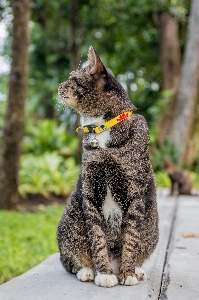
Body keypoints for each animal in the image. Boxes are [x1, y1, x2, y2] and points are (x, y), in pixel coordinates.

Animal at [56, 45, 159, 288]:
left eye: (72, 78)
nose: (59, 86)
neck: (102, 130)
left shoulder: (135, 194)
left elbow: (131, 238)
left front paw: (128, 273)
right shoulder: (90, 192)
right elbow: (97, 237)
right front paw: (103, 273)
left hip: (152, 225)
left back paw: (135, 269)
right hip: (69, 221)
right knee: (69, 259)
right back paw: (88, 270)